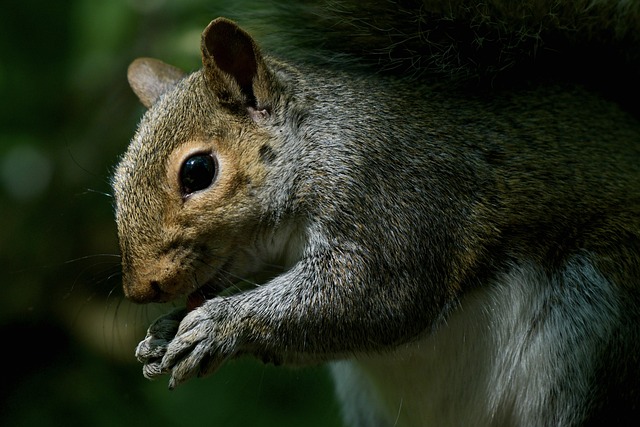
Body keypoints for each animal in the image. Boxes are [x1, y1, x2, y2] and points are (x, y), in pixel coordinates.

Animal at [112, 1, 640, 426]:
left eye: (198, 171)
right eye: (116, 182)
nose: (140, 290)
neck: (315, 145)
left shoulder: (392, 192)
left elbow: (373, 295)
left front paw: (218, 325)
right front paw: (163, 332)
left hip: (598, 327)